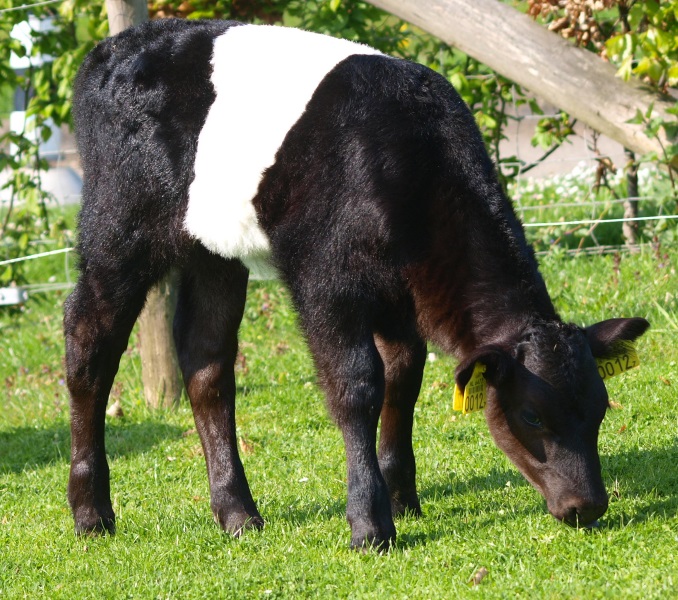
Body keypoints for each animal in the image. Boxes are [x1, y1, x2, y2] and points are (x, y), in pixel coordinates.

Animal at [64, 18, 649, 550]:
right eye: (531, 414)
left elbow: (403, 378)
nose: (588, 505)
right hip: (118, 227)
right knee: (89, 342)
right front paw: (370, 524)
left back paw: (238, 515)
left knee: (207, 362)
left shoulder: (398, 298)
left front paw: (402, 497)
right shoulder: (326, 280)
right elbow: (358, 386)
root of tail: (117, 45)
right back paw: (92, 514)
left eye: (600, 408)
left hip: (215, 251)